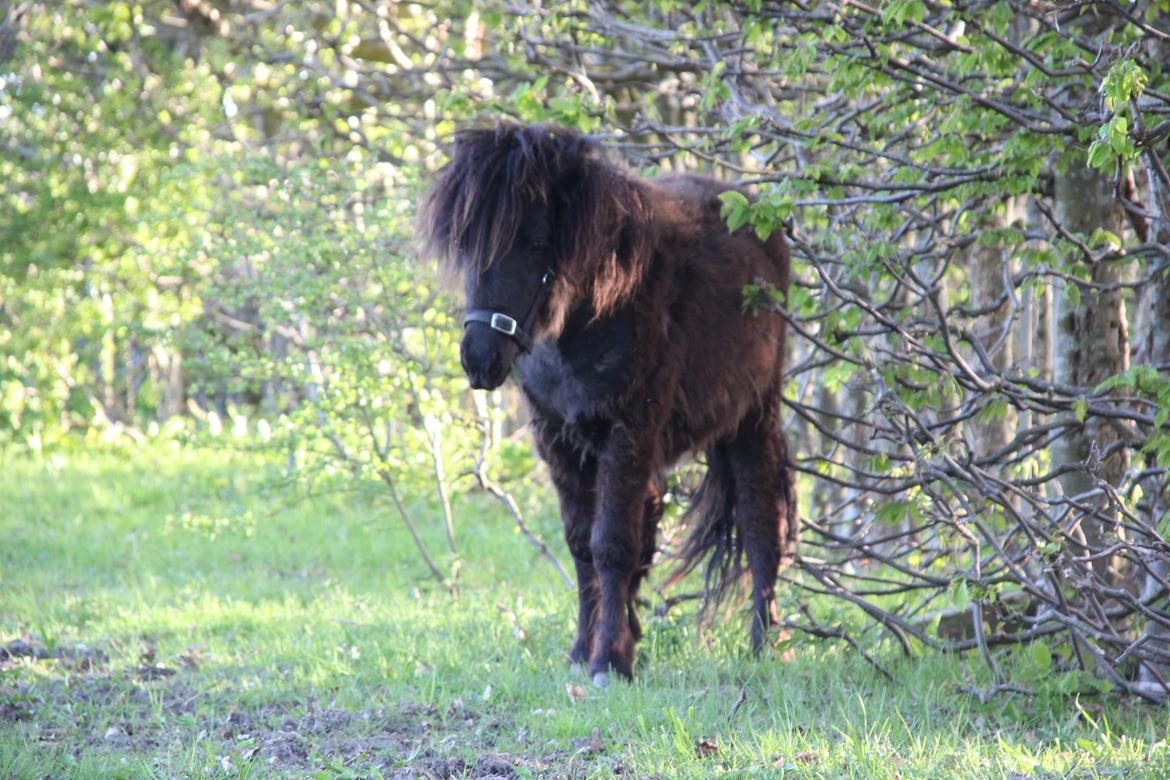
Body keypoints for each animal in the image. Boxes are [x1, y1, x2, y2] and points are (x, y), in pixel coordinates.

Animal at [418, 120, 795, 682]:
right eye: (467, 246)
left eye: (536, 243)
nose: (479, 359)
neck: (596, 311)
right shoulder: (556, 436)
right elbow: (582, 545)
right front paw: (583, 650)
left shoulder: (628, 429)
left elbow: (612, 544)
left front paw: (609, 662)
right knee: (655, 518)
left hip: (752, 419)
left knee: (759, 526)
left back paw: (765, 645)